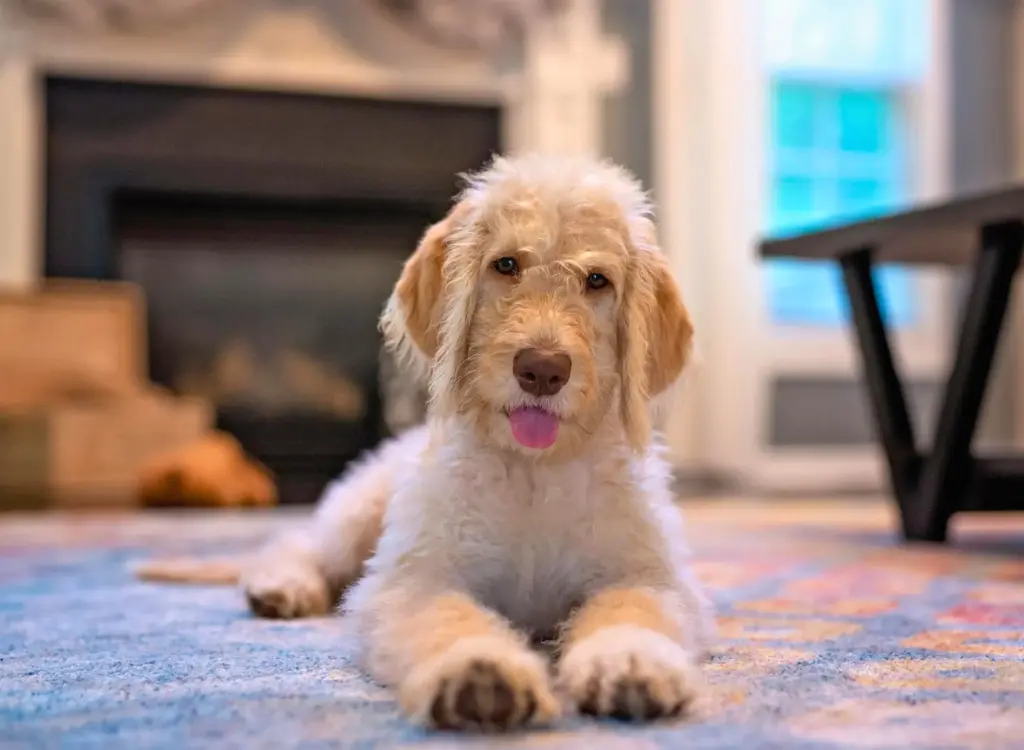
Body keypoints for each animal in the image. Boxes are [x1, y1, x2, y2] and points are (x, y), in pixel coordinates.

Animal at [134, 153, 712, 733]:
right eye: (505, 265)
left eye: (597, 280)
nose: (543, 371)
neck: (534, 472)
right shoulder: (416, 578)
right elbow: (447, 617)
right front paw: (479, 671)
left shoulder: (646, 575)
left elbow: (632, 609)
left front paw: (631, 661)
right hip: (358, 515)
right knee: (296, 544)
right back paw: (283, 587)